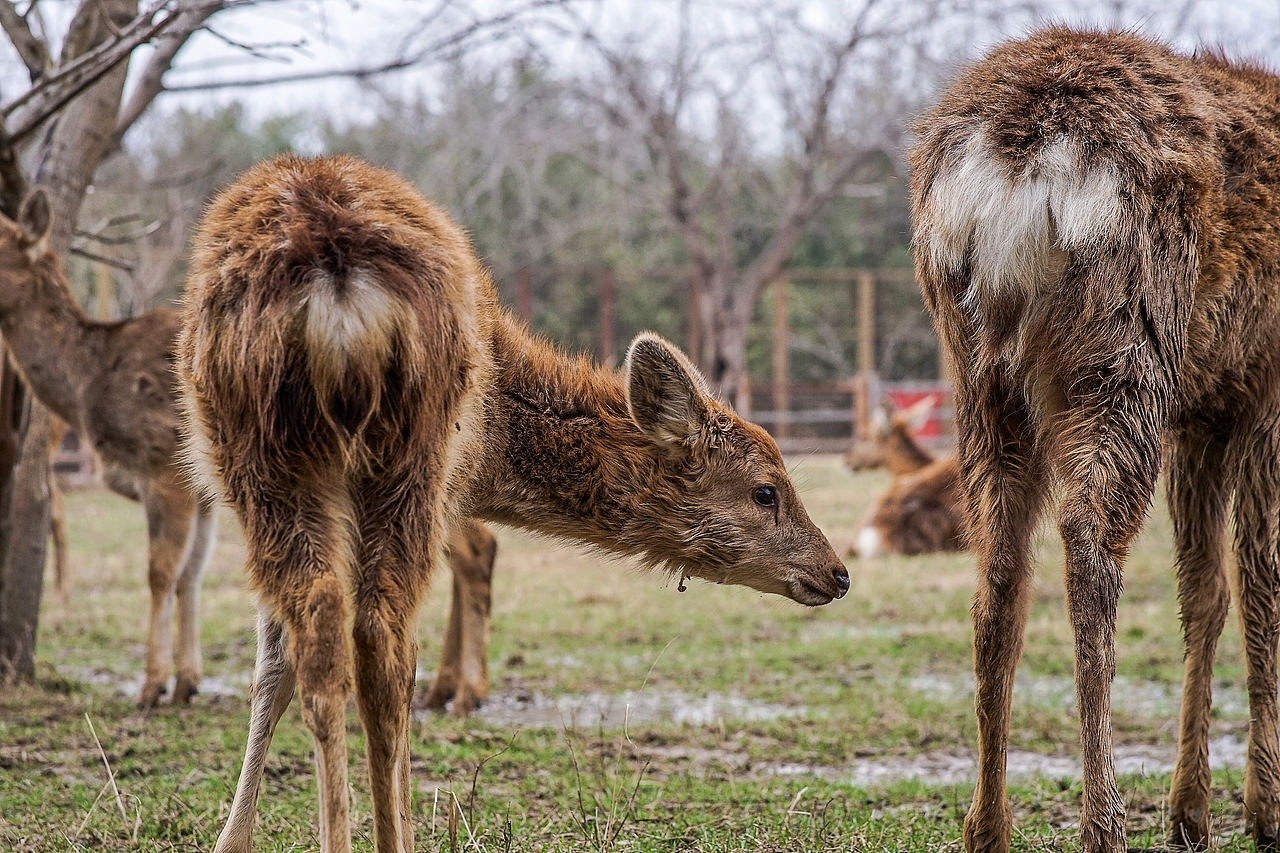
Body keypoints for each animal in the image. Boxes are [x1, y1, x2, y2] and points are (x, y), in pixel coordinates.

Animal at [177, 153, 849, 853]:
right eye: (766, 490)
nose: (837, 572)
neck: (494, 444)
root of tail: (338, 290)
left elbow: (272, 666)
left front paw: (231, 841)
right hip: (396, 463)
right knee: (379, 646)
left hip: (284, 467)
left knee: (334, 635)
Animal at [911, 26, 1280, 853]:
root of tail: (1011, 161)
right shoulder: (1264, 390)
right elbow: (1261, 581)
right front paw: (1262, 808)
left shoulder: (1205, 409)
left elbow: (1204, 588)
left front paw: (1192, 810)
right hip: (1122, 351)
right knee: (1087, 547)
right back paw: (1102, 819)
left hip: (976, 373)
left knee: (1000, 564)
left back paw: (987, 822)